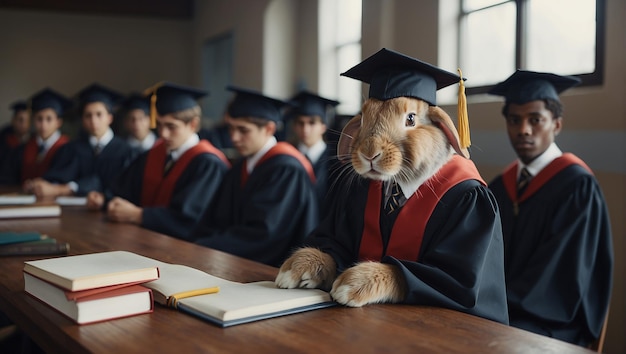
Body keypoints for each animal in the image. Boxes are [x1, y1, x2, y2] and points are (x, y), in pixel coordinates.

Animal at [274, 96, 468, 306]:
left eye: (411, 119)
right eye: (363, 118)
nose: (369, 153)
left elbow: (408, 273)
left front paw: (351, 285)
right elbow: (333, 250)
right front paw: (295, 269)